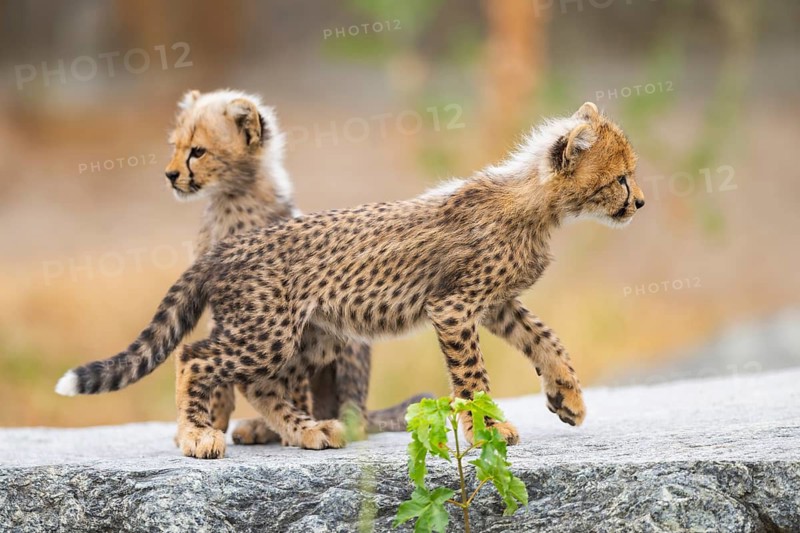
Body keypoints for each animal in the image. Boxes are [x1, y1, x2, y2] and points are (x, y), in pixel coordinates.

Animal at [57, 102, 644, 460]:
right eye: (621, 177)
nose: (639, 202)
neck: (537, 201)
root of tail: (227, 245)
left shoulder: (494, 304)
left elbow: (547, 339)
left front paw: (567, 398)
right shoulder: (453, 307)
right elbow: (472, 376)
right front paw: (488, 430)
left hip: (291, 336)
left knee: (251, 379)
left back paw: (297, 429)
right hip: (269, 331)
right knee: (195, 357)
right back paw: (199, 433)